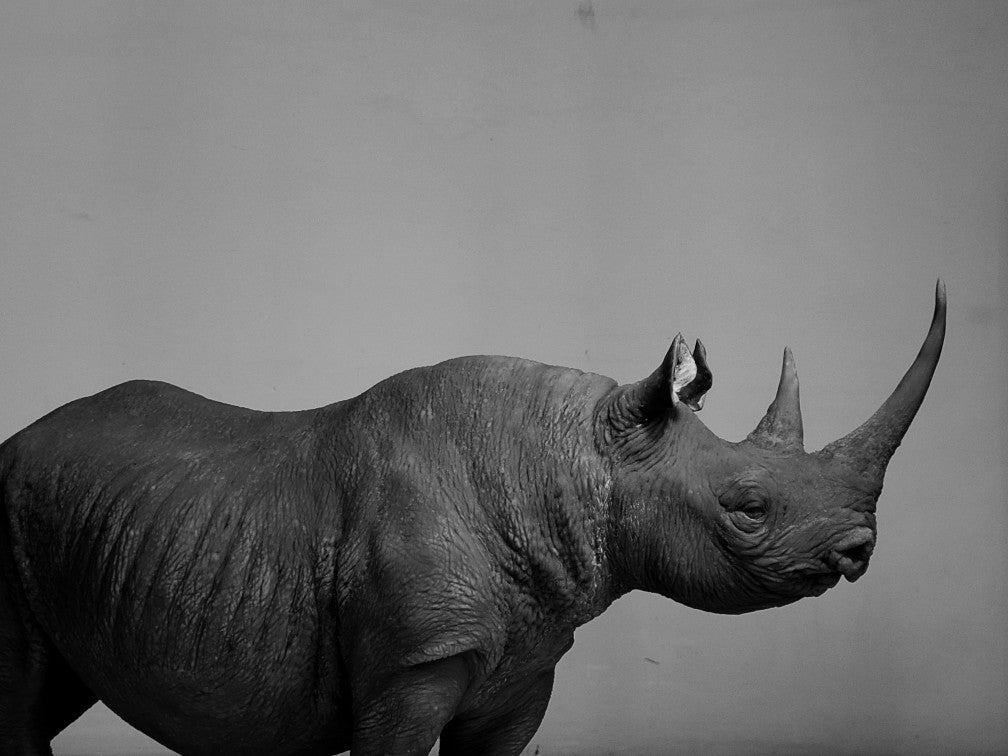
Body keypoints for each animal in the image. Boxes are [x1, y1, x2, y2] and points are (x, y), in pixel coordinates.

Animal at [0, 282, 945, 755]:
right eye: (748, 507)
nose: (860, 548)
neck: (576, 461)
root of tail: (18, 440)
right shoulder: (410, 667)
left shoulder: (525, 661)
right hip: (8, 509)